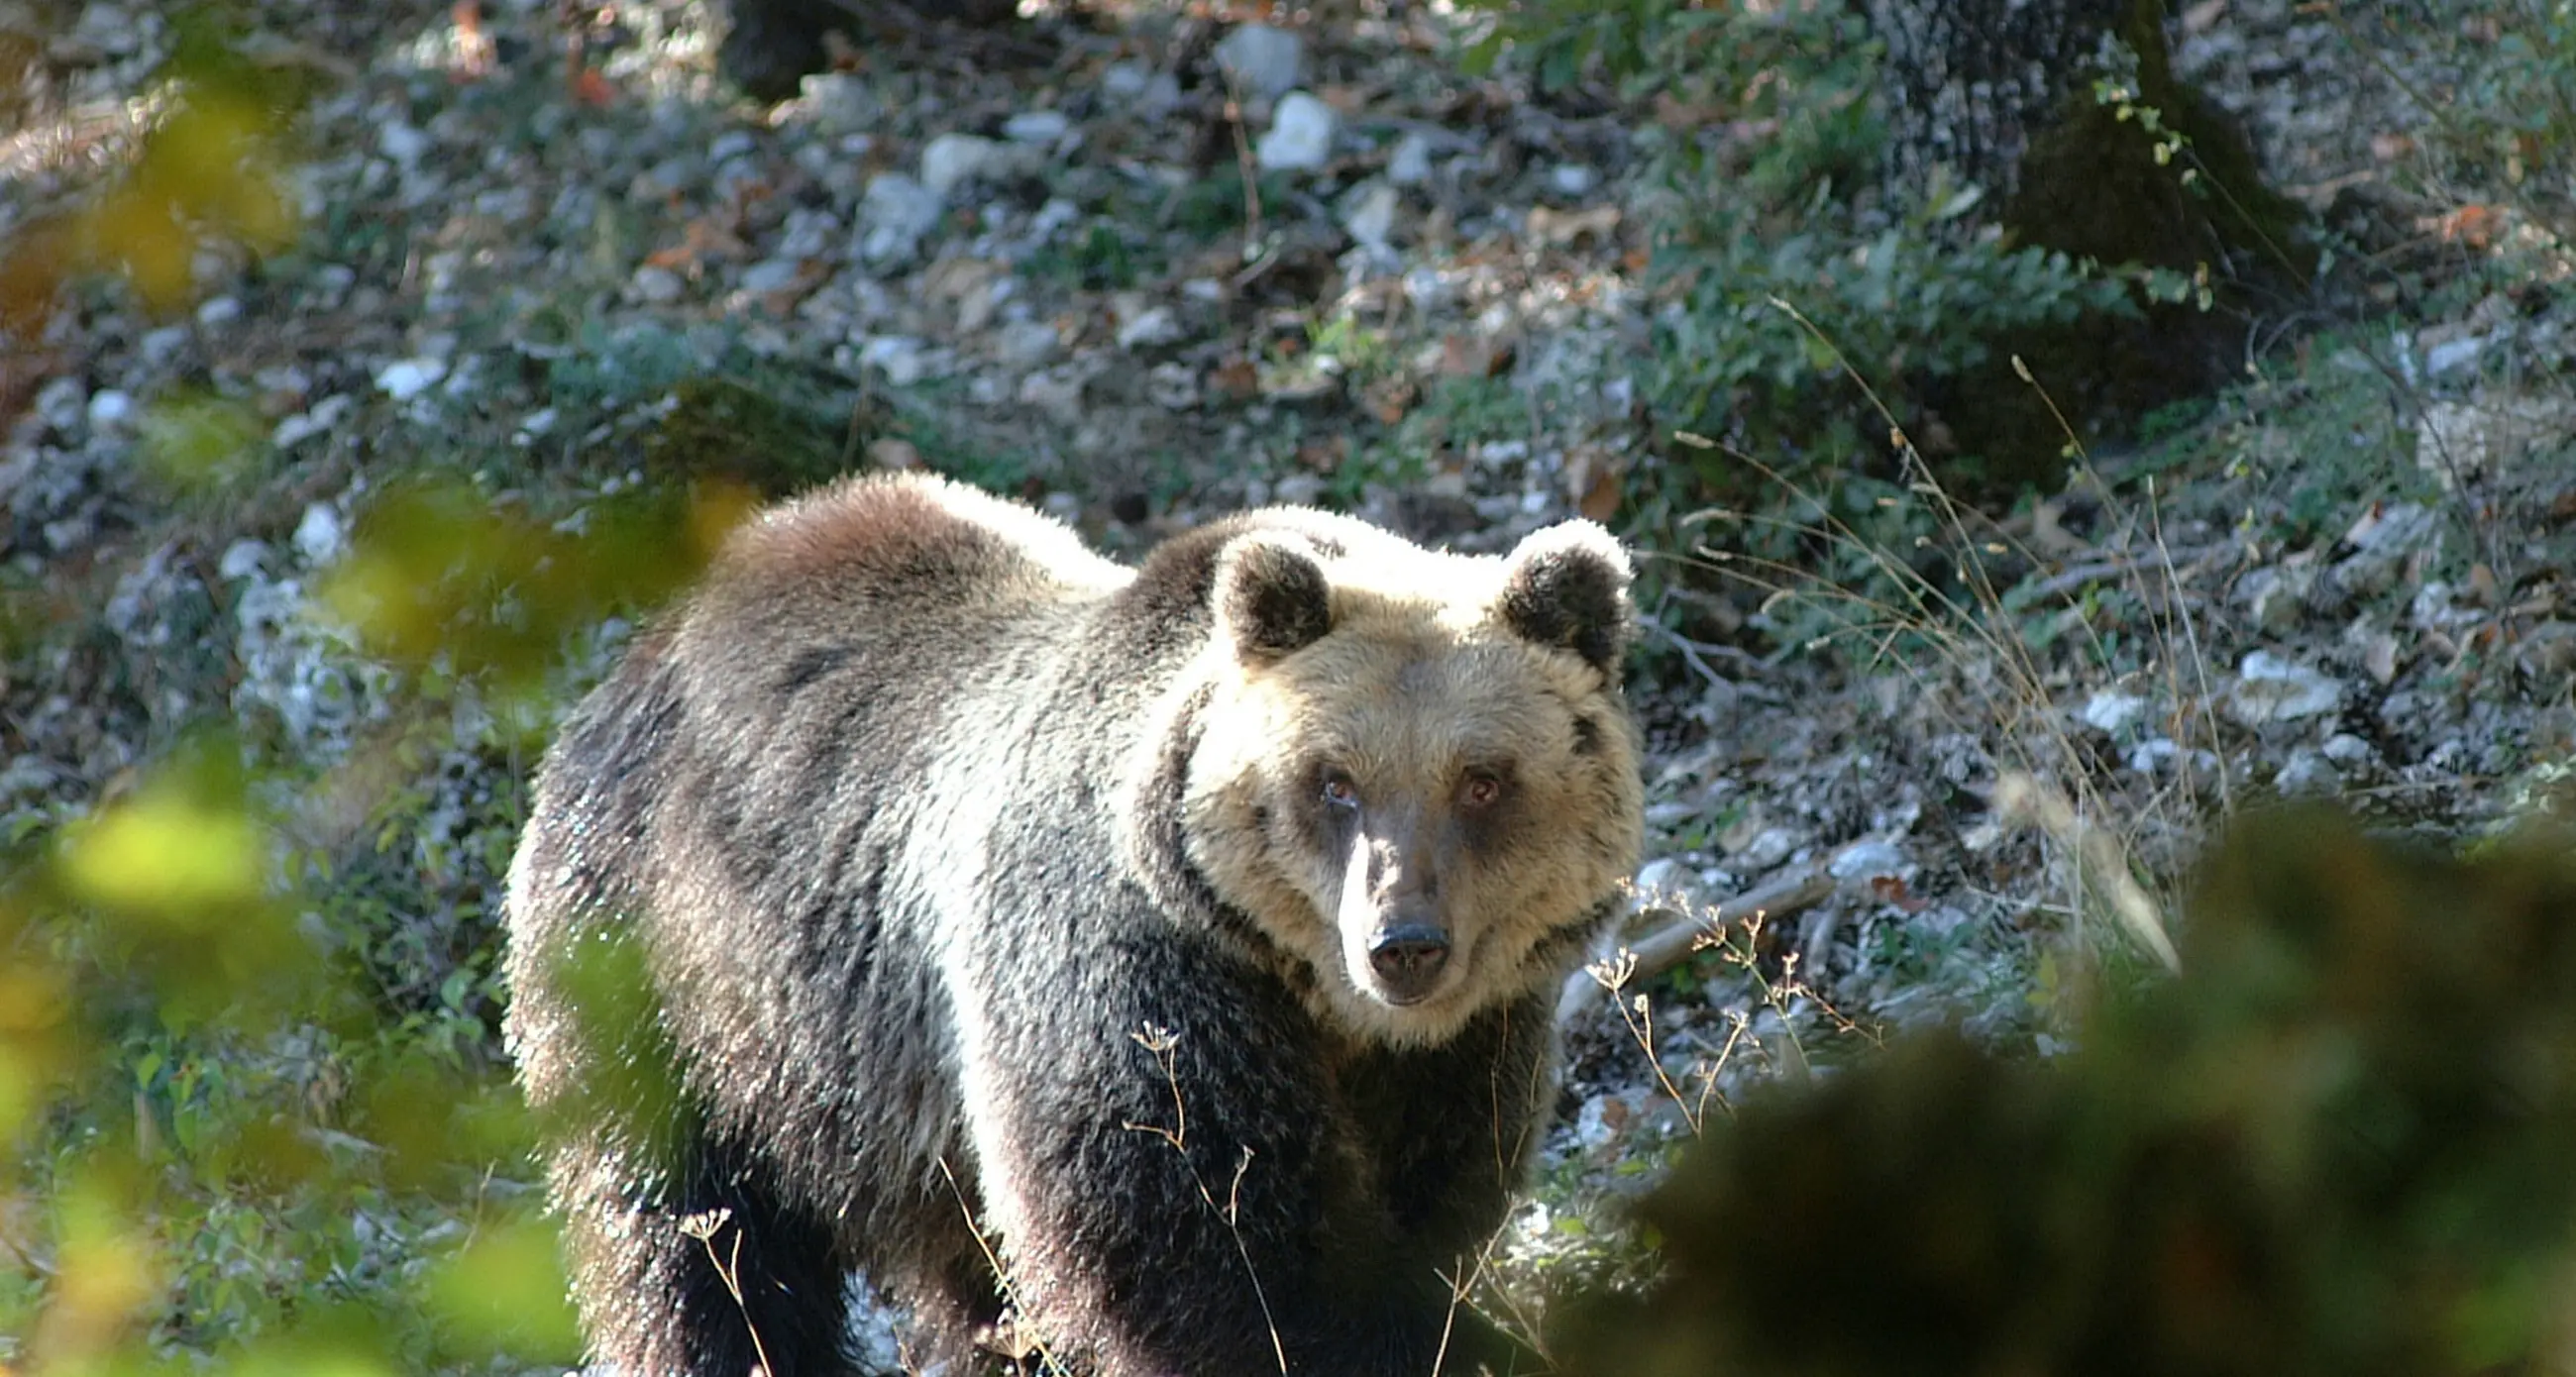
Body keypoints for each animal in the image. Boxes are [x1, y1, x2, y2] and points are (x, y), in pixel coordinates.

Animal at [501, 471, 1645, 1376]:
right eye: (1334, 781)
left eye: (1483, 780)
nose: (1403, 945)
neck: (1313, 997)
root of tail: (644, 645)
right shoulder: (1126, 970)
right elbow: (1203, 1238)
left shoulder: (1461, 1049)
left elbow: (1432, 1206)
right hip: (672, 974)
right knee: (688, 1238)